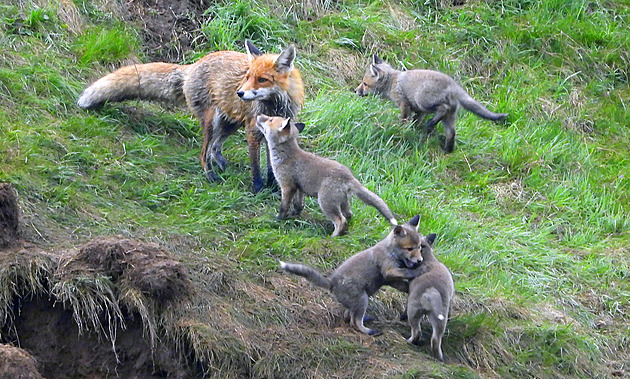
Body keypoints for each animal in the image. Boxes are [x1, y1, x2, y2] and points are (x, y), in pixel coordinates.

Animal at [77, 40, 306, 193]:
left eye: (262, 79)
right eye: (248, 77)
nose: (240, 93)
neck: (275, 106)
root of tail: (192, 66)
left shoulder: (273, 131)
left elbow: (271, 166)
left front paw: (274, 188)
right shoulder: (253, 130)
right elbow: (256, 166)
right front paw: (258, 189)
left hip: (229, 123)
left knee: (215, 147)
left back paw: (221, 165)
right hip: (211, 120)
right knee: (204, 152)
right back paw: (211, 175)